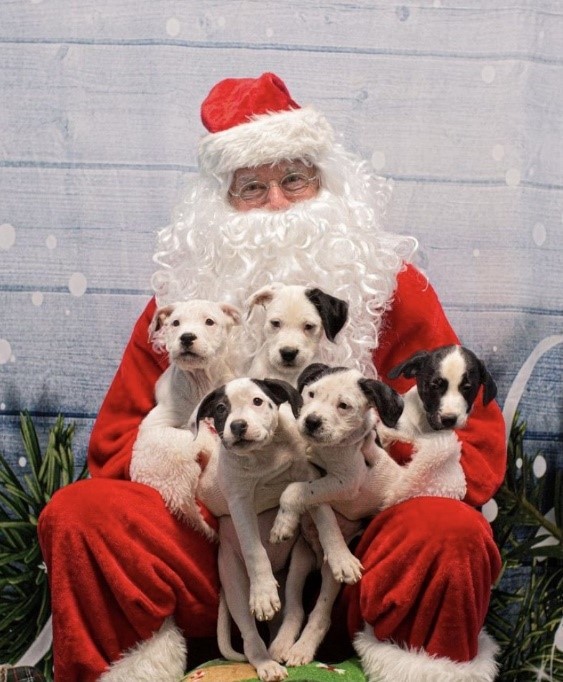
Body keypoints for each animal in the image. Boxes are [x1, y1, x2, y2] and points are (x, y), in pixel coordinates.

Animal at [130, 298, 240, 536]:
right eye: (175, 323)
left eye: (209, 322)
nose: (187, 337)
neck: (200, 382)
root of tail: (177, 494)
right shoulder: (157, 422)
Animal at [194, 378, 362, 680]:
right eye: (221, 408)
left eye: (258, 401)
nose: (238, 426)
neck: (263, 457)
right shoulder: (239, 502)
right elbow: (254, 549)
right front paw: (262, 594)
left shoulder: (309, 479)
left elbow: (326, 520)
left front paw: (342, 558)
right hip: (234, 583)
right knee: (251, 635)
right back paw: (267, 662)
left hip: (293, 569)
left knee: (292, 611)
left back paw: (285, 647)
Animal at [270, 364, 406, 544]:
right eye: (311, 394)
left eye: (343, 405)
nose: (311, 422)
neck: (327, 447)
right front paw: (287, 520)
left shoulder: (347, 481)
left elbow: (295, 490)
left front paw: (282, 524)